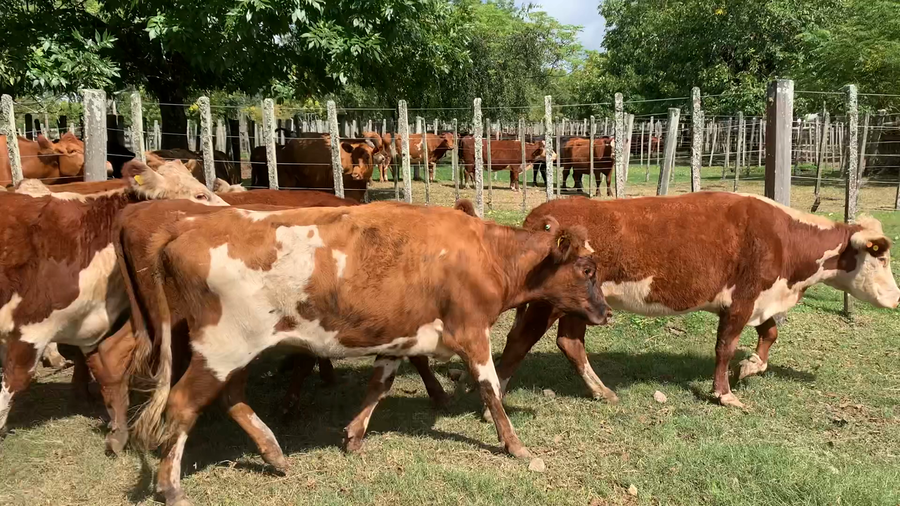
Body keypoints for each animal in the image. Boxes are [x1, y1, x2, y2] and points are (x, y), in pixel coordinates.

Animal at [0, 159, 227, 454]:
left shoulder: (90, 326)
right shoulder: (31, 327)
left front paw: (117, 433)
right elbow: (12, 383)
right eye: (200, 195)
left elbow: (107, 371)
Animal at [121, 200, 607, 505]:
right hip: (221, 348)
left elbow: (379, 384)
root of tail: (187, 226)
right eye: (587, 269)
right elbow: (490, 389)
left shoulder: (399, 336)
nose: (604, 312)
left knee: (231, 397)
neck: (484, 253)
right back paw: (170, 486)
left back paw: (273, 453)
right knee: (183, 404)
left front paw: (354, 435)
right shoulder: (472, 331)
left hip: (229, 353)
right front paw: (515, 445)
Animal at [485, 193, 899, 415]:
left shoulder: (757, 299)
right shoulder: (742, 299)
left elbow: (770, 333)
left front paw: (751, 367)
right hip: (549, 302)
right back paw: (499, 396)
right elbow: (725, 347)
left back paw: (601, 390)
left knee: (569, 341)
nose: (895, 296)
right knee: (520, 340)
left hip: (579, 304)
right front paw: (725, 393)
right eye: (879, 255)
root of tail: (542, 213)